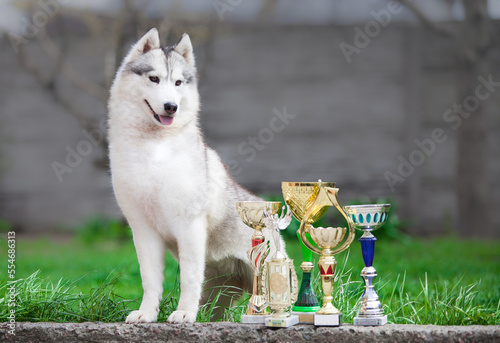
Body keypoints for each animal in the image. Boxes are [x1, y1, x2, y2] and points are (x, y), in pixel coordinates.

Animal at [108, 28, 282, 324]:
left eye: (178, 82)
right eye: (153, 78)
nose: (171, 106)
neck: (154, 150)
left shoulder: (189, 225)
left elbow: (189, 278)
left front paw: (184, 313)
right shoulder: (142, 230)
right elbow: (150, 280)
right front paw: (147, 313)